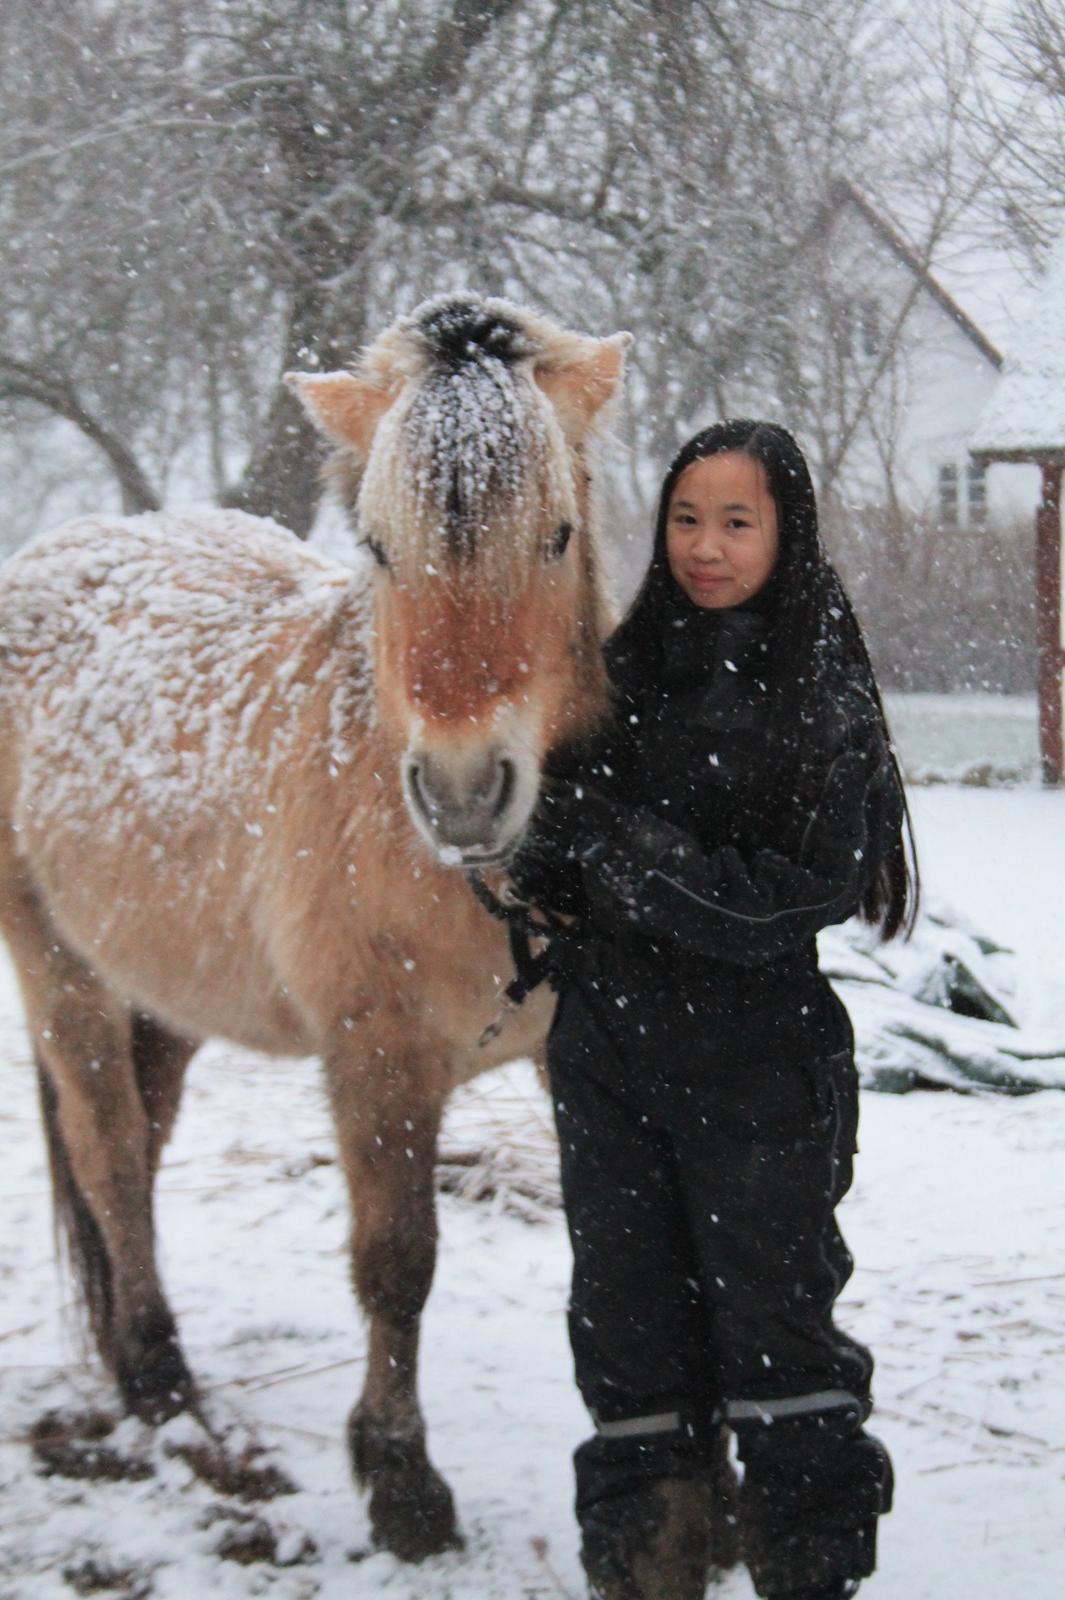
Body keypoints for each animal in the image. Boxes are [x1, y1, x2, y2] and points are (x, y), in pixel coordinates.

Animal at [0, 291, 626, 1561]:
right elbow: (396, 1266)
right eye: (377, 545)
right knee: (106, 1152)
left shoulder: (572, 1050)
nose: (463, 792)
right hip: (60, 970)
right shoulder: (375, 1058)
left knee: (141, 1150)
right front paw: (400, 1479)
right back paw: (158, 1378)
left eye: (556, 535)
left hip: (165, 995)